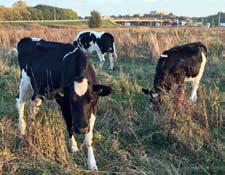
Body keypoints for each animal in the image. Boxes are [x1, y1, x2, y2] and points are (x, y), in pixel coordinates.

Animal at [15, 37, 111, 170]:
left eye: (91, 99)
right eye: (71, 100)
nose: (80, 128)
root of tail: (25, 39)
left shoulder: (93, 109)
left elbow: (88, 138)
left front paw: (92, 163)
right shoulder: (64, 104)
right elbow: (69, 125)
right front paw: (73, 146)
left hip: (38, 87)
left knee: (34, 105)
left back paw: (33, 125)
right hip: (24, 81)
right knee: (19, 103)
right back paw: (22, 128)